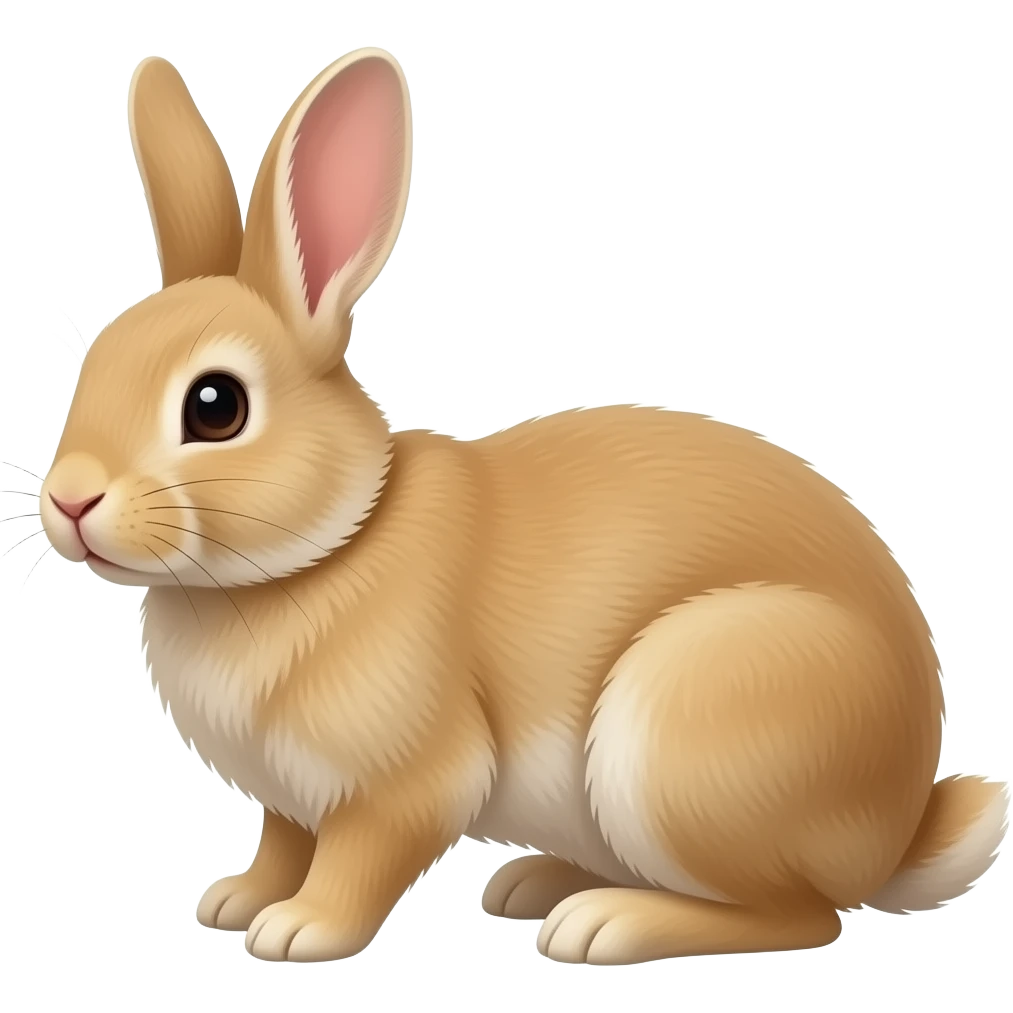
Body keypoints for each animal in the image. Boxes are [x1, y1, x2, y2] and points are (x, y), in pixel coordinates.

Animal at [39, 47, 1009, 967]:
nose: (69, 499)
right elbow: (281, 842)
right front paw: (235, 900)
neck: (330, 545)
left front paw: (299, 930)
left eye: (216, 407)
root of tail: (899, 824)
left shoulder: (404, 782)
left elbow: (361, 857)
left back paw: (602, 924)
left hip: (685, 726)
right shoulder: (289, 800)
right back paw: (537, 883)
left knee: (801, 913)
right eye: (91, 363)